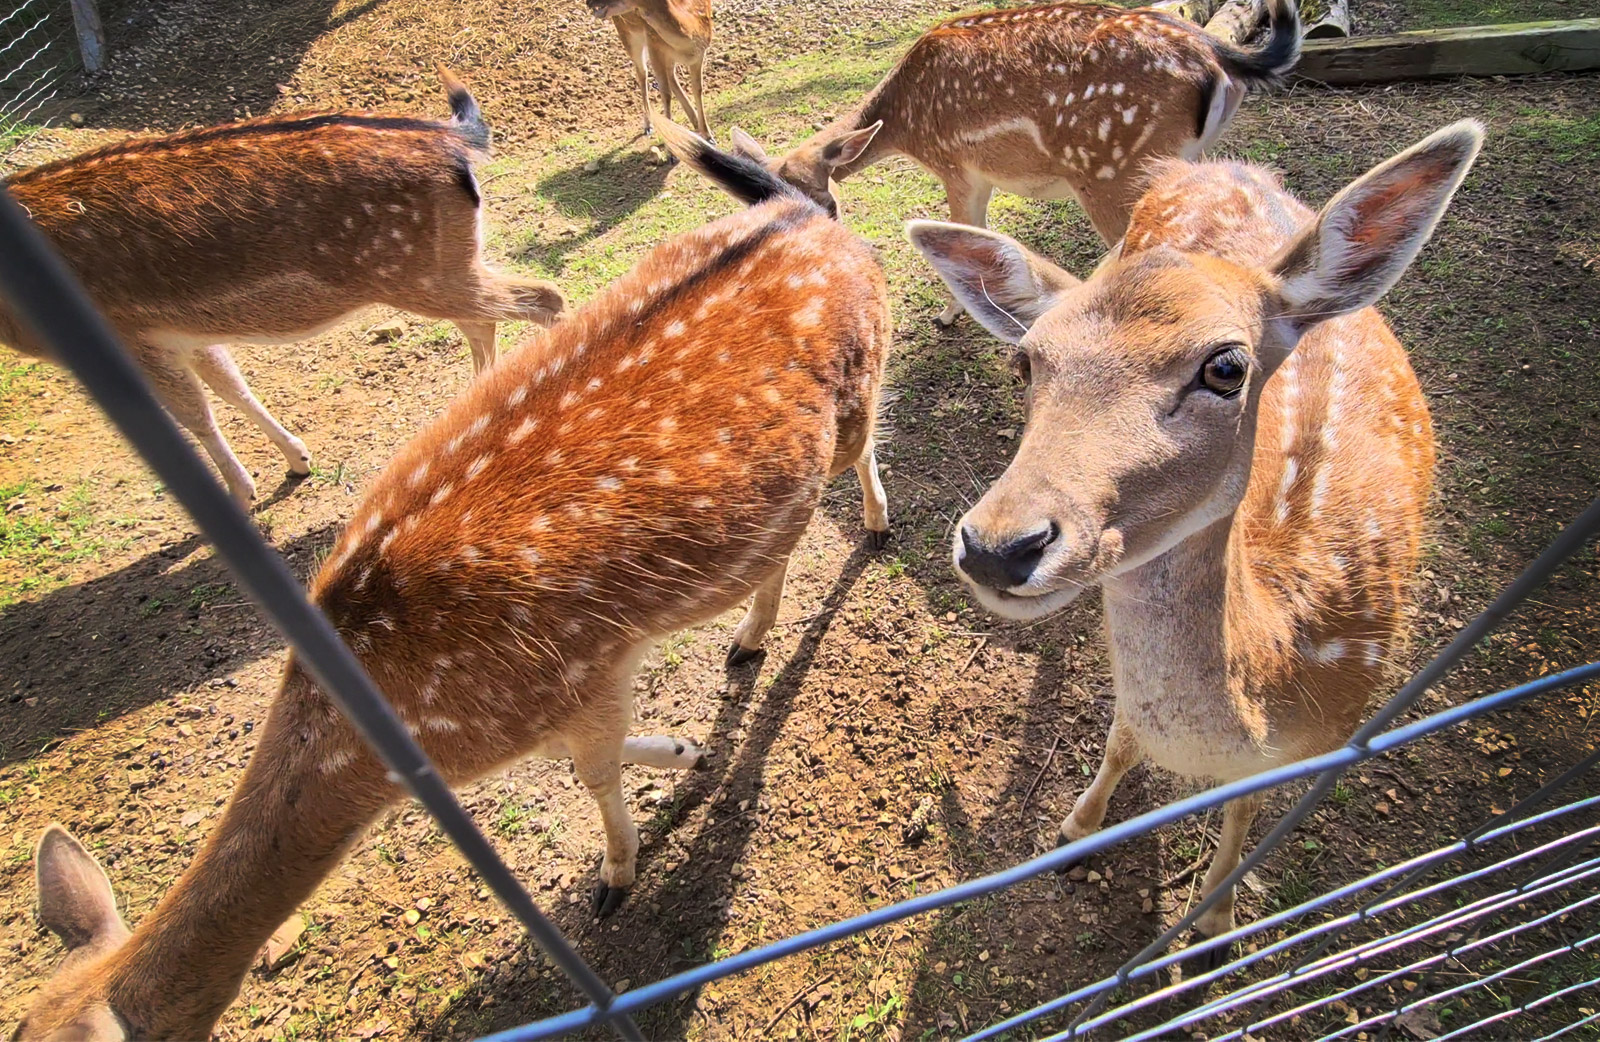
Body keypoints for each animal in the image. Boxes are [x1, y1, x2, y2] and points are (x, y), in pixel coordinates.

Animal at [0, 69, 565, 507]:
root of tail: (456, 139)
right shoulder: (183, 332)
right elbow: (232, 386)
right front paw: (297, 460)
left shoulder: (132, 335)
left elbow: (195, 415)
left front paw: (241, 493)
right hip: (446, 264)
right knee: (486, 317)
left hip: (419, 272)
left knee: (543, 297)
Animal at [15, 118, 892, 1042]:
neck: (409, 736)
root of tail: (810, 216)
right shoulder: (572, 694)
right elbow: (607, 754)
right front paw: (686, 752)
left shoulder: (576, 677)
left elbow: (596, 774)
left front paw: (617, 878)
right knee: (786, 538)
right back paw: (747, 639)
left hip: (859, 383)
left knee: (862, 450)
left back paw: (874, 528)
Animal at [589, 0, 714, 138]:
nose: (588, 2)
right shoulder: (654, 43)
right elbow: (665, 93)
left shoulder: (700, 54)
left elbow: (697, 89)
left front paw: (708, 135)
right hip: (627, 33)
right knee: (642, 72)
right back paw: (648, 126)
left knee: (671, 76)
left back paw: (695, 122)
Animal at [726, 0, 1300, 324]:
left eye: (829, 207)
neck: (905, 124)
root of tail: (1219, 56)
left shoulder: (956, 165)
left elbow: (966, 227)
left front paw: (948, 315)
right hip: (1188, 159)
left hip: (1113, 171)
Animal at [908, 120, 1484, 963]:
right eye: (1025, 360)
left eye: (1226, 366)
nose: (996, 545)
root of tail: (1223, 167)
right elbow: (1120, 731)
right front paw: (1075, 829)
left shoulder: (1333, 731)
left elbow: (1245, 811)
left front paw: (1213, 922)